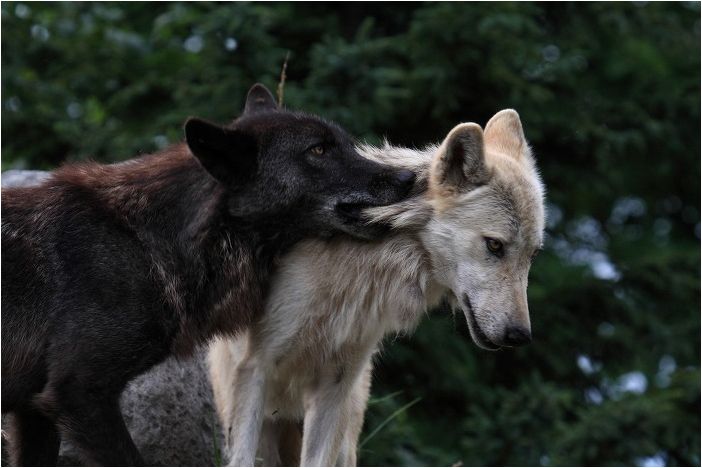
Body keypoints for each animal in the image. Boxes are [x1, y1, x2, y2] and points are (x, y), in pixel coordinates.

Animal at [0, 84, 416, 464]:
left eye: (346, 144)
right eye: (318, 150)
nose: (408, 178)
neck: (144, 241)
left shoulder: (34, 410)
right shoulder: (79, 395)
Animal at [206, 109, 548, 464]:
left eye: (533, 254)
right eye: (495, 245)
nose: (520, 335)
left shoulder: (336, 386)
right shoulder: (255, 369)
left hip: (346, 432)